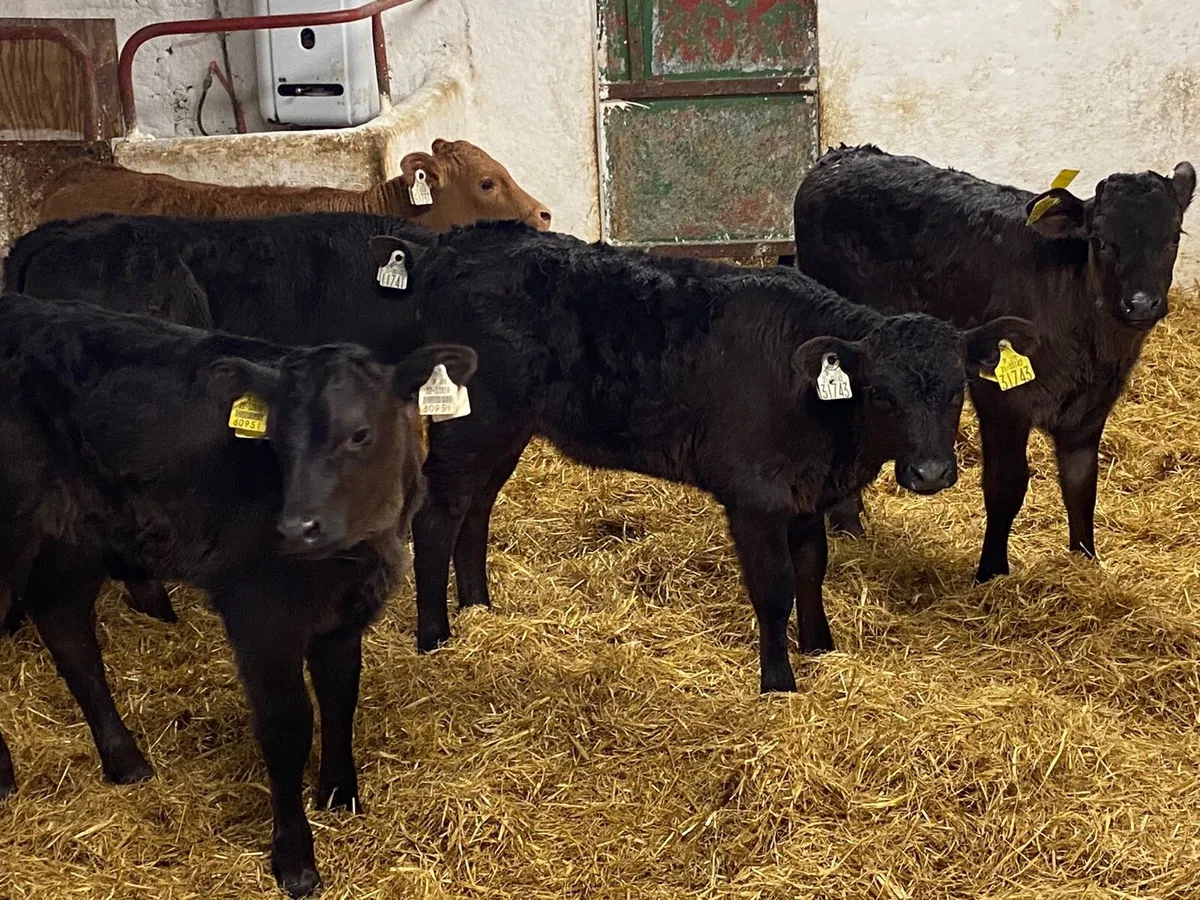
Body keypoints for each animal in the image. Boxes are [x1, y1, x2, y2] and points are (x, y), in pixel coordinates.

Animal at [0, 292, 476, 895]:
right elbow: (287, 727)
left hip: (74, 536)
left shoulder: (342, 615)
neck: (360, 549)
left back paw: (124, 759)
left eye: (360, 434)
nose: (297, 527)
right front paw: (295, 860)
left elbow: (340, 697)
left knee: (66, 627)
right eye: (275, 440)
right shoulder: (261, 617)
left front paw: (340, 796)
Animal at [368, 222, 1037, 693]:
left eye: (957, 390)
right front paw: (779, 684)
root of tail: (452, 245)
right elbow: (774, 588)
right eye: (881, 393)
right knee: (437, 516)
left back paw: (480, 607)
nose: (931, 474)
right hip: (471, 424)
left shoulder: (806, 494)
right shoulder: (754, 498)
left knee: (475, 509)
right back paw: (436, 636)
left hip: (505, 430)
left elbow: (812, 569)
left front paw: (820, 647)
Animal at [791, 144, 1195, 582]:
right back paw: (848, 523)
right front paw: (991, 572)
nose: (1140, 303)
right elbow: (1006, 485)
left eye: (1173, 237)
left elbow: (1081, 483)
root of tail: (843, 156)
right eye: (1100, 240)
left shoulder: (1091, 408)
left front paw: (1085, 560)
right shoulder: (1002, 400)